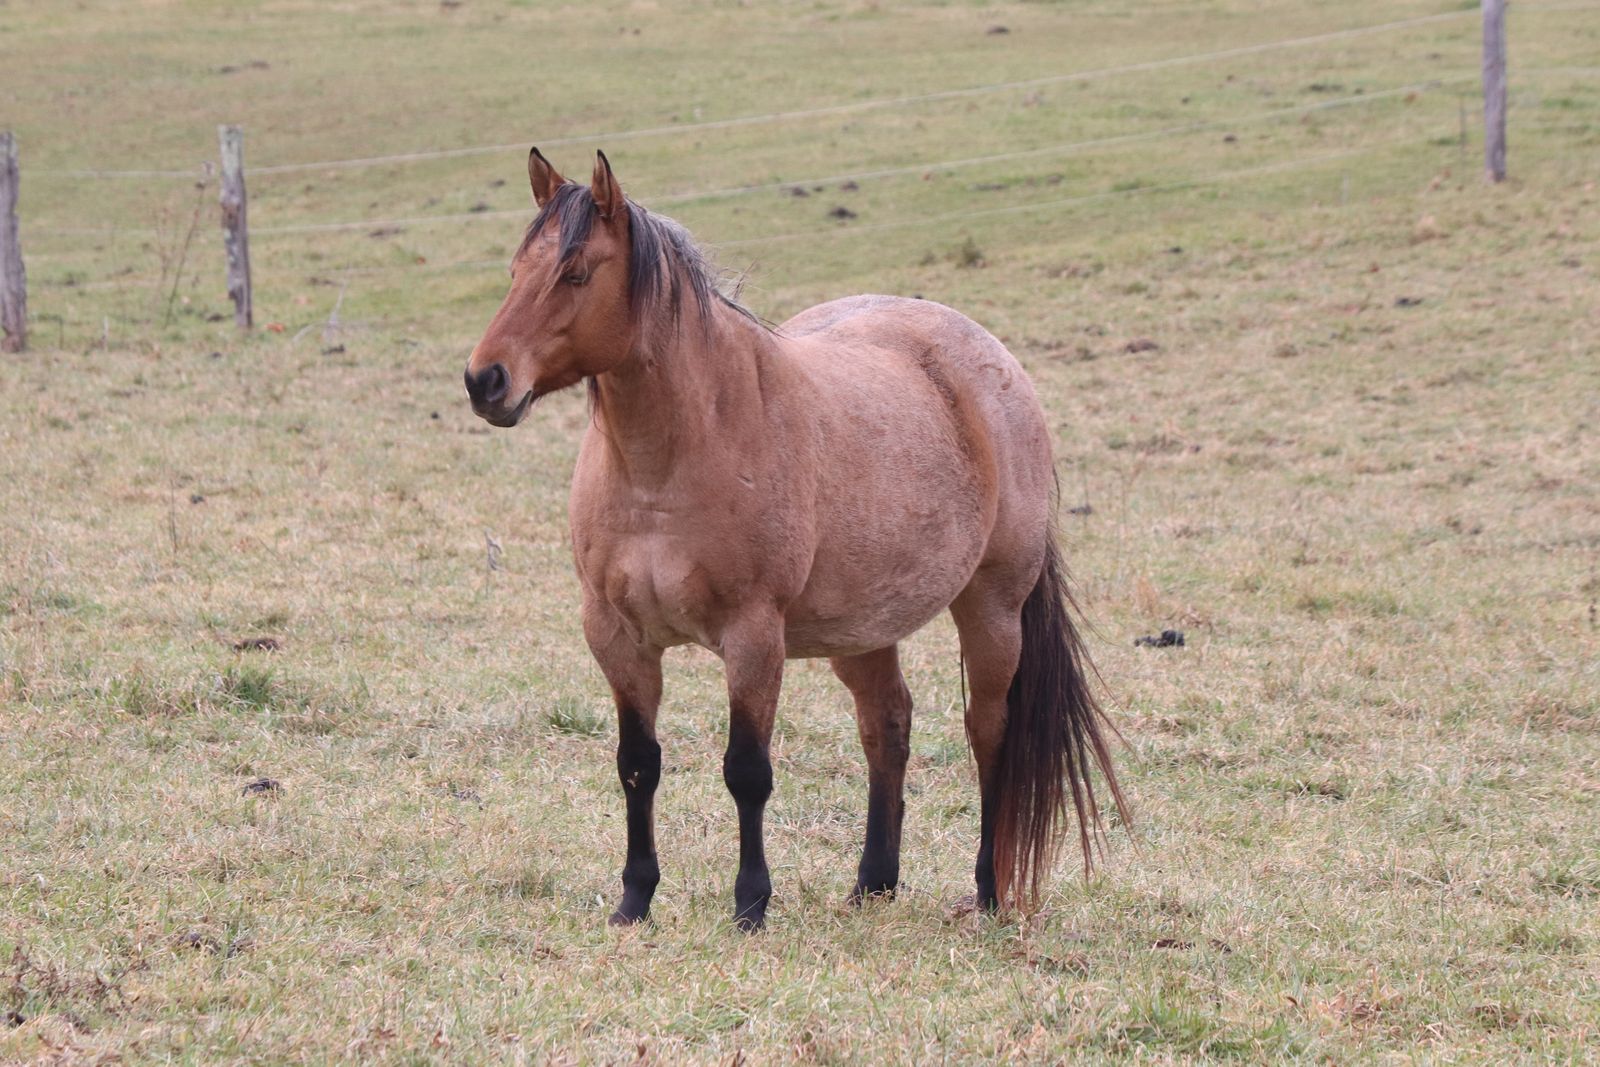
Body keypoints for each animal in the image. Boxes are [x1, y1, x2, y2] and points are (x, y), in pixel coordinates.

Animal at [463, 148, 1127, 930]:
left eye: (576, 272)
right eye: (515, 270)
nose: (485, 380)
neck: (669, 463)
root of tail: (993, 363)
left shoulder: (753, 636)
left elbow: (747, 770)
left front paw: (751, 903)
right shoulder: (617, 636)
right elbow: (637, 764)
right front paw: (634, 899)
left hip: (992, 607)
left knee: (987, 732)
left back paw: (989, 890)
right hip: (864, 627)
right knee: (887, 724)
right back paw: (873, 882)